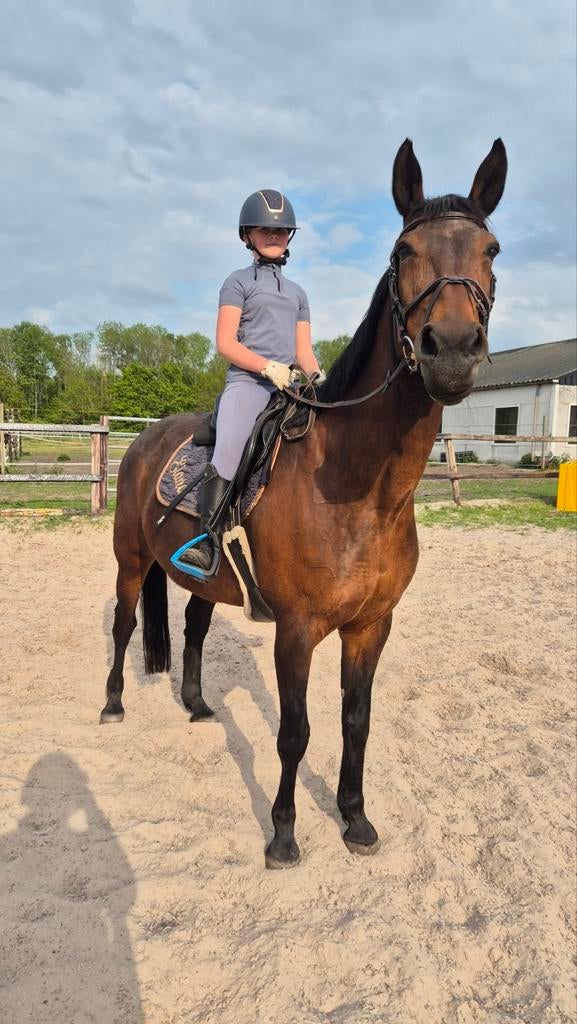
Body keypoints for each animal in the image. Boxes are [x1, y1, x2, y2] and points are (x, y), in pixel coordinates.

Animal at [102, 138, 508, 869]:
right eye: (403, 251)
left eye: (490, 249)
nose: (454, 350)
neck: (357, 489)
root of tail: (144, 437)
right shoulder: (295, 630)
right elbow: (294, 731)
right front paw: (284, 835)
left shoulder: (371, 626)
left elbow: (356, 722)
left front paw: (355, 820)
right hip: (129, 560)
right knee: (123, 626)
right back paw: (114, 705)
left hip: (205, 579)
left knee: (194, 627)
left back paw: (197, 705)